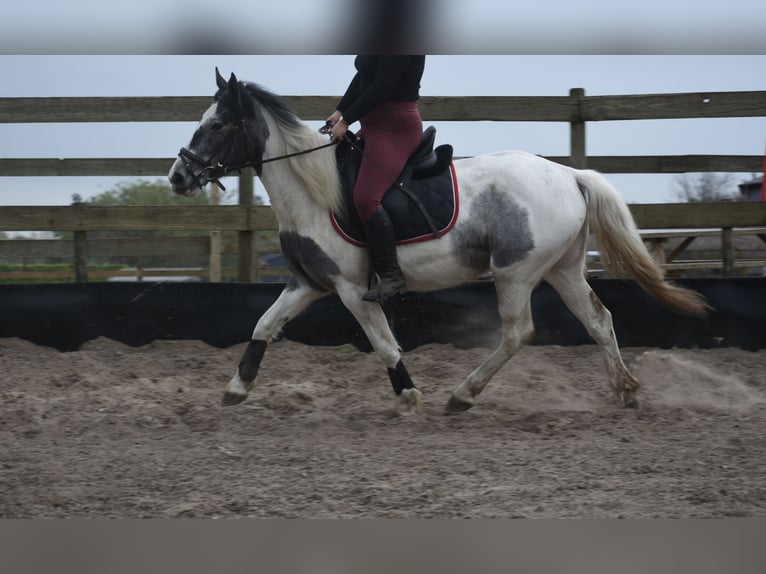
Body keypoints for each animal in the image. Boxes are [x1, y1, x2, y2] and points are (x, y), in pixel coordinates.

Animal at [168, 69, 709, 416]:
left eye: (216, 125)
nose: (178, 177)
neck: (312, 190)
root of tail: (570, 175)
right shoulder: (310, 283)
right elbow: (264, 323)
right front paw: (237, 387)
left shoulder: (353, 290)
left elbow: (384, 343)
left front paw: (408, 396)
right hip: (562, 268)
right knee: (598, 320)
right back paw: (626, 391)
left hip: (515, 272)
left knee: (518, 333)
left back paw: (463, 395)